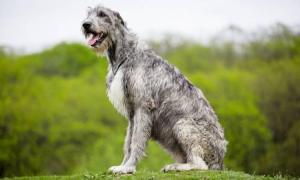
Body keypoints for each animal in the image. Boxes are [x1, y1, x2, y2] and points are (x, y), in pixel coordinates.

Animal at [82, 5, 227, 174]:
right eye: (88, 14)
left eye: (102, 14)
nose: (85, 24)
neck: (126, 54)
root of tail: (220, 160)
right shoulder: (132, 113)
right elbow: (128, 141)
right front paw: (123, 165)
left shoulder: (143, 107)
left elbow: (136, 141)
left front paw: (129, 167)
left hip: (183, 125)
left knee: (200, 164)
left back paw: (175, 166)